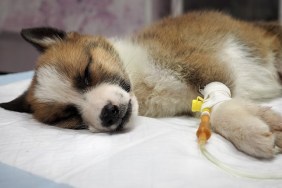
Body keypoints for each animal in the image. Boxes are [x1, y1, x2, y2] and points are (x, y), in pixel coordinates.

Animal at [0, 11, 282, 159]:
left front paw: (248, 129)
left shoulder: (205, 64)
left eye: (86, 72)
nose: (108, 113)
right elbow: (211, 112)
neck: (140, 79)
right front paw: (253, 123)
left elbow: (220, 105)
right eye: (67, 115)